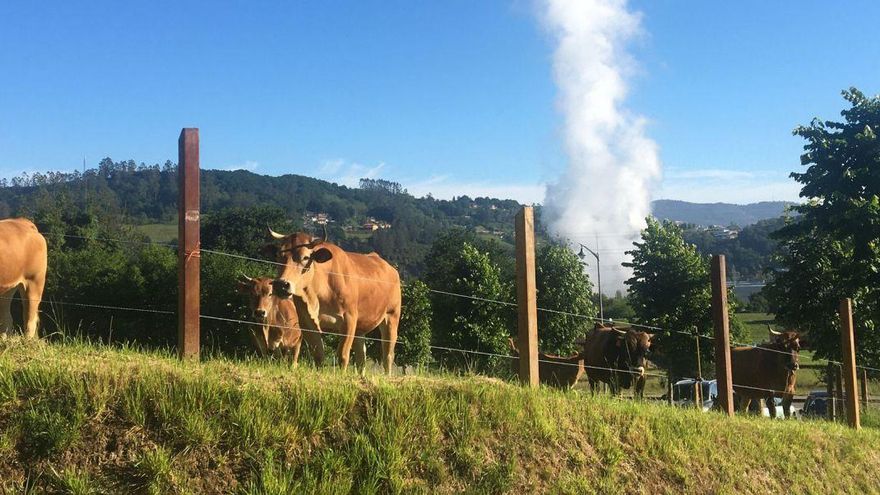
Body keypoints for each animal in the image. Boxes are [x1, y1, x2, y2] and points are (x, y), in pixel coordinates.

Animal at [264, 227, 402, 374]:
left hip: (391, 317)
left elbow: (342, 355)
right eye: (279, 255)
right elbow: (318, 355)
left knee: (388, 355)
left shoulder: (349, 319)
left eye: (305, 257)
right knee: (361, 357)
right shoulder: (306, 323)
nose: (281, 284)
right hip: (360, 328)